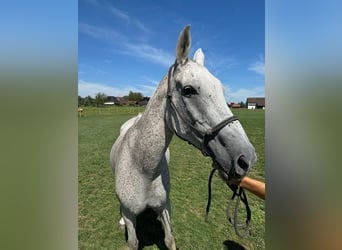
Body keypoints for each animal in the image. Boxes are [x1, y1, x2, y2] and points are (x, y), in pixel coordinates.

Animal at [110, 25, 256, 250]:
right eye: (188, 90)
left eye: (222, 90)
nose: (246, 158)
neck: (143, 167)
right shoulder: (130, 215)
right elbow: (132, 241)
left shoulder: (165, 208)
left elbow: (170, 239)